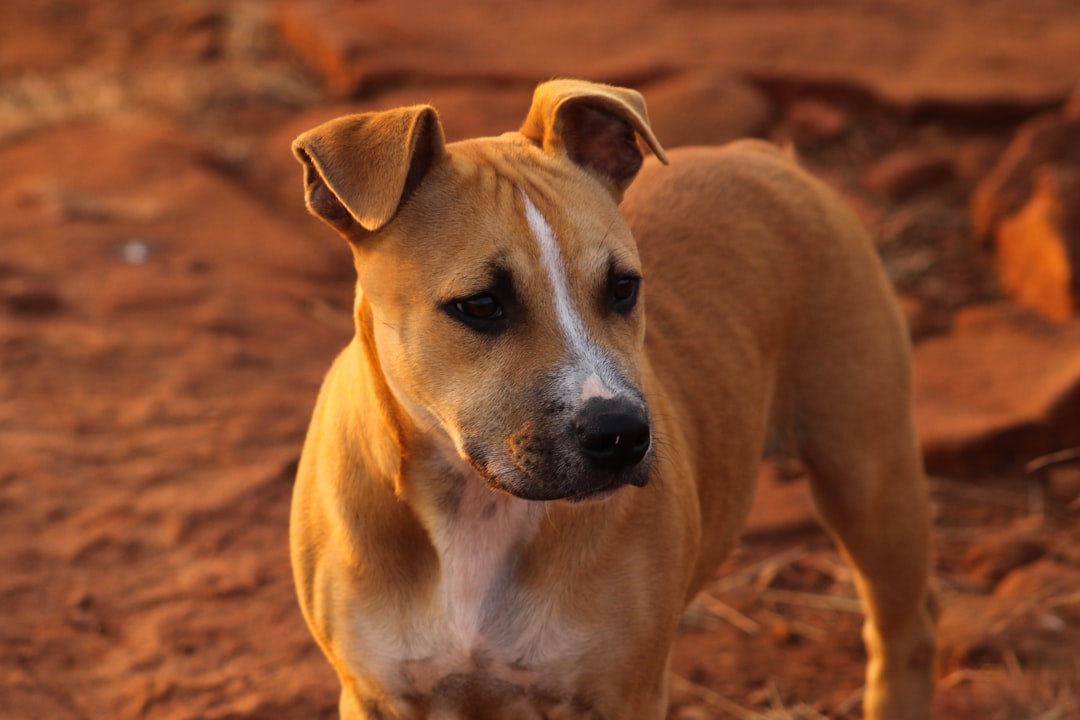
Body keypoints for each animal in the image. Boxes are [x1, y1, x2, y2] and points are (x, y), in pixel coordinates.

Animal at [289, 80, 937, 720]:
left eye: (623, 287)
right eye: (480, 305)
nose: (621, 434)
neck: (474, 511)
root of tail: (759, 154)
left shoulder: (625, 693)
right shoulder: (375, 694)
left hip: (871, 480)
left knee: (901, 635)